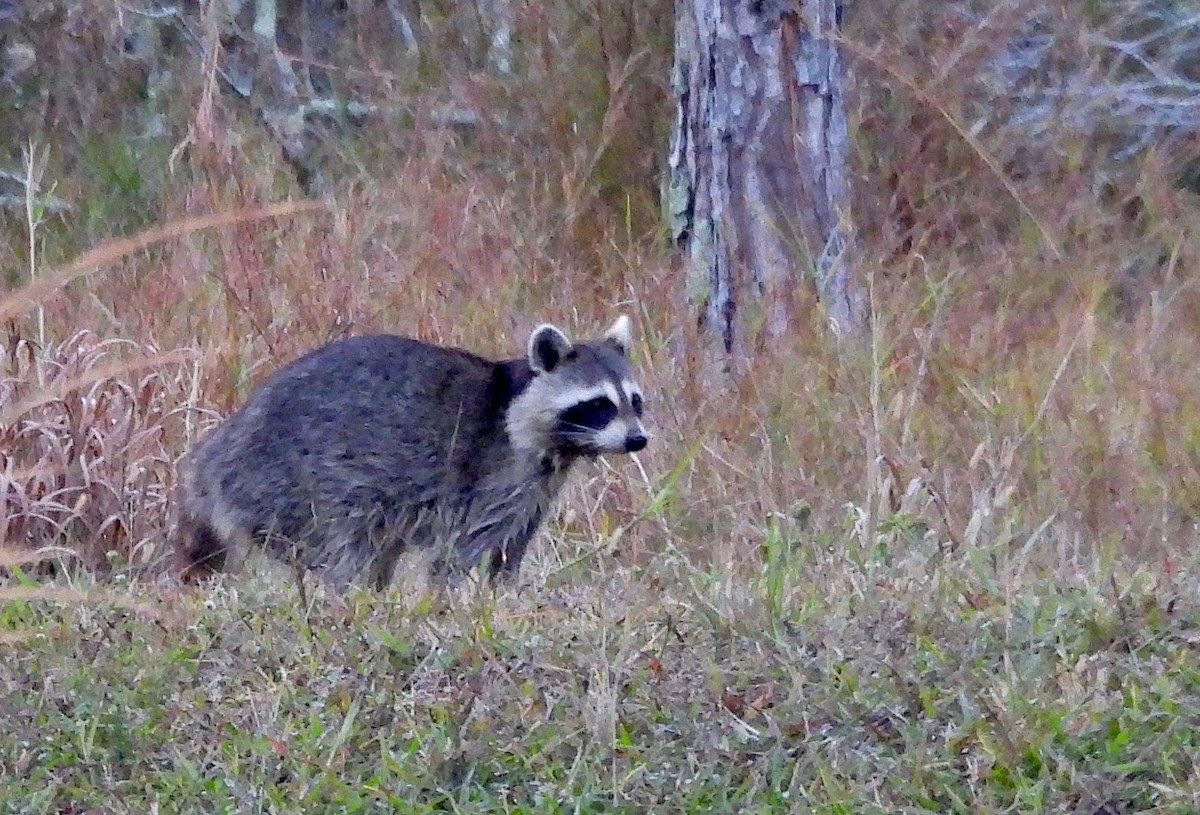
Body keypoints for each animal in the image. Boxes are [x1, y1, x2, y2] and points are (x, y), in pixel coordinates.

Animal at [175, 315, 647, 590]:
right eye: (599, 405)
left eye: (634, 401)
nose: (637, 440)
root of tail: (220, 447)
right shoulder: (492, 475)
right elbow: (461, 553)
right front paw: (454, 604)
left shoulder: (536, 489)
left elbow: (510, 551)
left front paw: (505, 597)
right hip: (297, 481)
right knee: (345, 548)